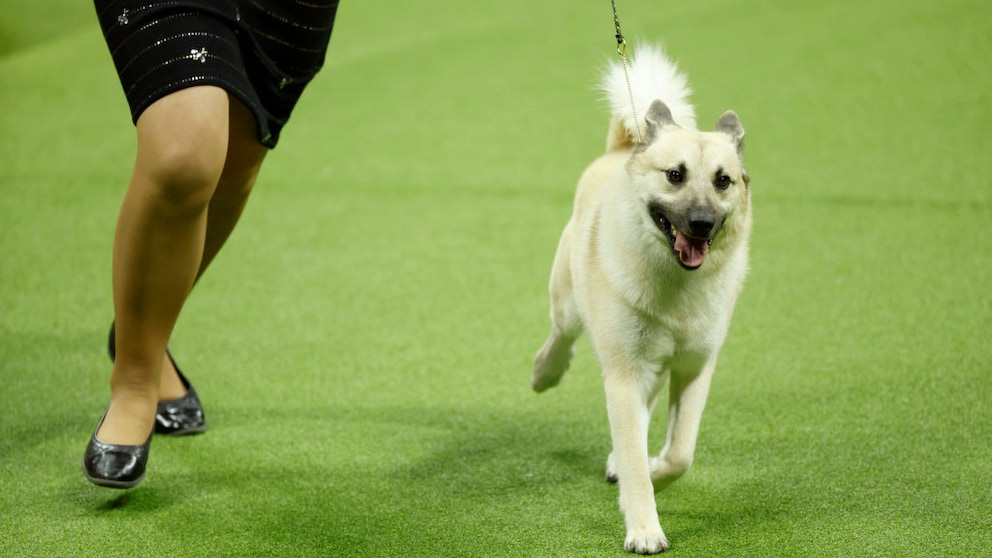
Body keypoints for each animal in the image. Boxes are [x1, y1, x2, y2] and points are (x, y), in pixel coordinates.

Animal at [536, 48, 752, 556]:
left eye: (723, 181)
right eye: (675, 176)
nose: (701, 223)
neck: (677, 287)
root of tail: (623, 148)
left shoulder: (694, 367)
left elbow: (679, 454)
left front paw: (655, 470)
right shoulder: (623, 373)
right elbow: (637, 458)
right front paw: (644, 529)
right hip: (570, 306)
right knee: (560, 336)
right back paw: (545, 372)